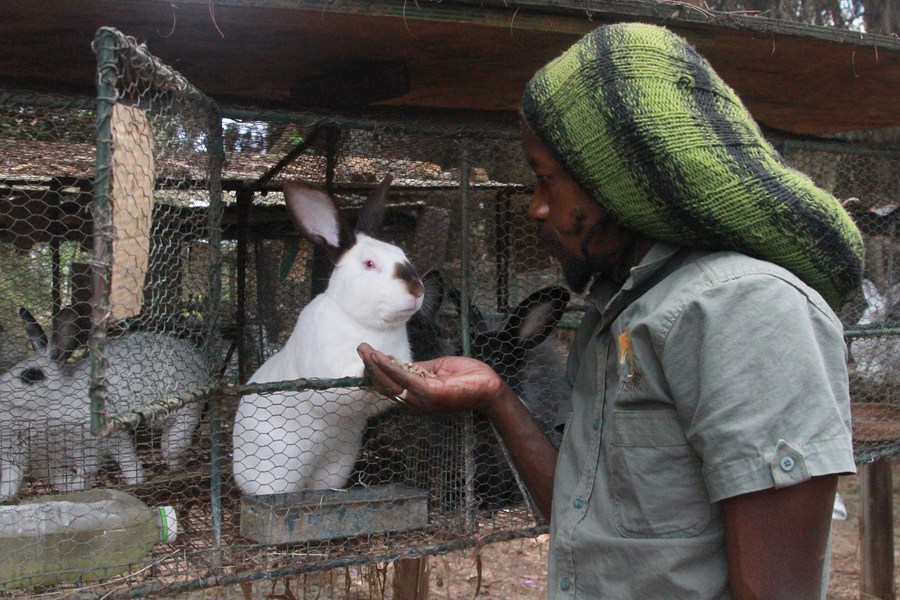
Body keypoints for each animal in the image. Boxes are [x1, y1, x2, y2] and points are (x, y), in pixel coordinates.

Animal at [0, 306, 208, 501]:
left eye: (31, 375)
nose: (1, 388)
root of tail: (198, 359)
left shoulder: (108, 436)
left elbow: (118, 461)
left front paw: (135, 481)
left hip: (181, 402)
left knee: (184, 425)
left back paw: (170, 451)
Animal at [231, 175, 425, 496]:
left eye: (403, 256)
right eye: (369, 264)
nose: (417, 290)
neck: (366, 323)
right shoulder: (328, 378)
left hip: (337, 464)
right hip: (277, 472)